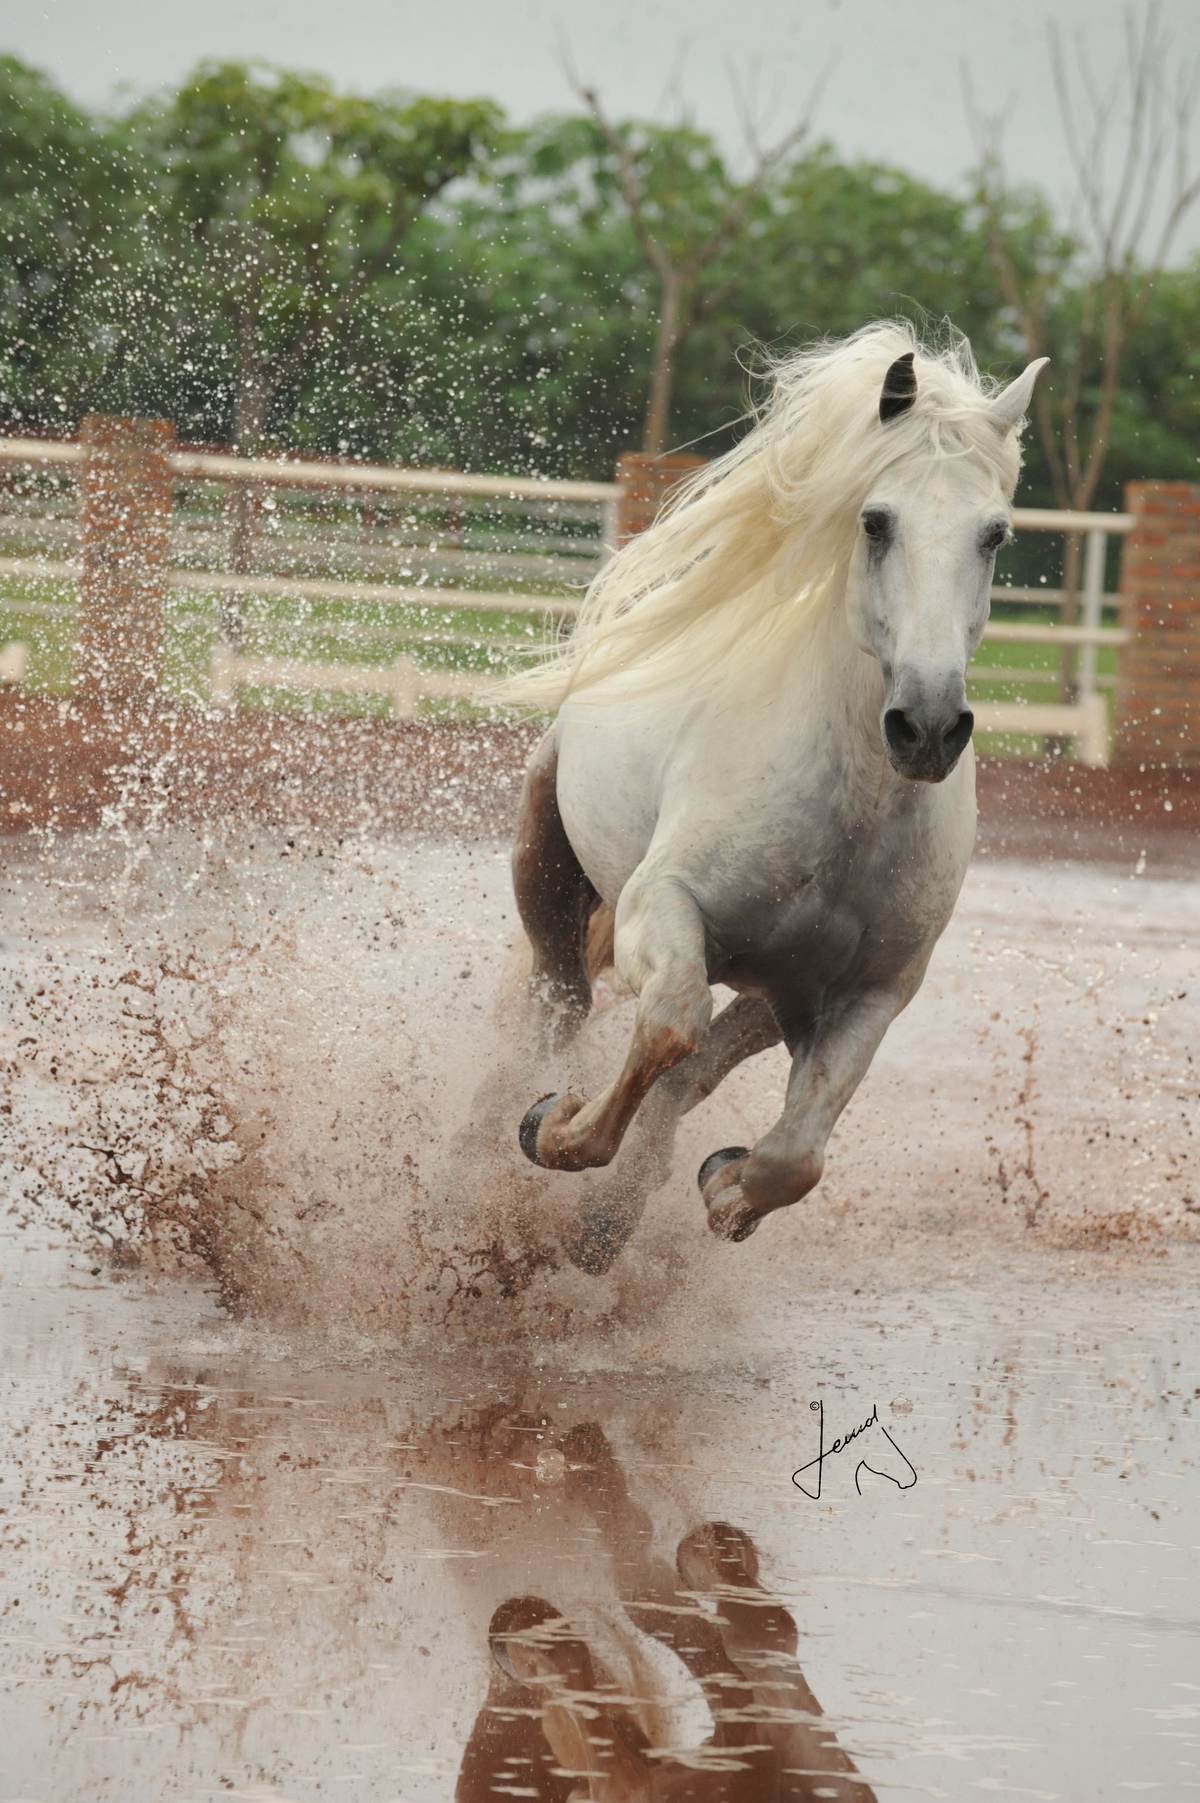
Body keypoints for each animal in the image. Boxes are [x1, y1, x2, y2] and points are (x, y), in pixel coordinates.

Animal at [499, 322, 1048, 1274]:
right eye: (875, 521)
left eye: (996, 535)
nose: (927, 725)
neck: (848, 807)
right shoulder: (661, 904)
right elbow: (668, 1024)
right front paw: (558, 1127)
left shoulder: (867, 993)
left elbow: (795, 1152)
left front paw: (725, 1188)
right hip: (550, 880)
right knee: (562, 1010)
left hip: (770, 989)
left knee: (697, 1073)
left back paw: (611, 1221)